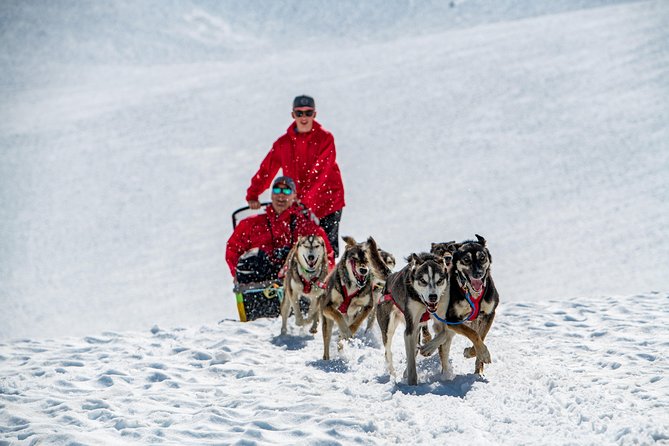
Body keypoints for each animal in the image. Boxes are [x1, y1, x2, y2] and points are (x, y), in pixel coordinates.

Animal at [422, 233, 496, 376]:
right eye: (466, 260)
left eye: (482, 258)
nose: (478, 273)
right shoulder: (452, 318)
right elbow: (474, 334)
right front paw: (483, 353)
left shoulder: (489, 314)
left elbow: (481, 336)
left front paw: (475, 353)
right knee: (443, 340)